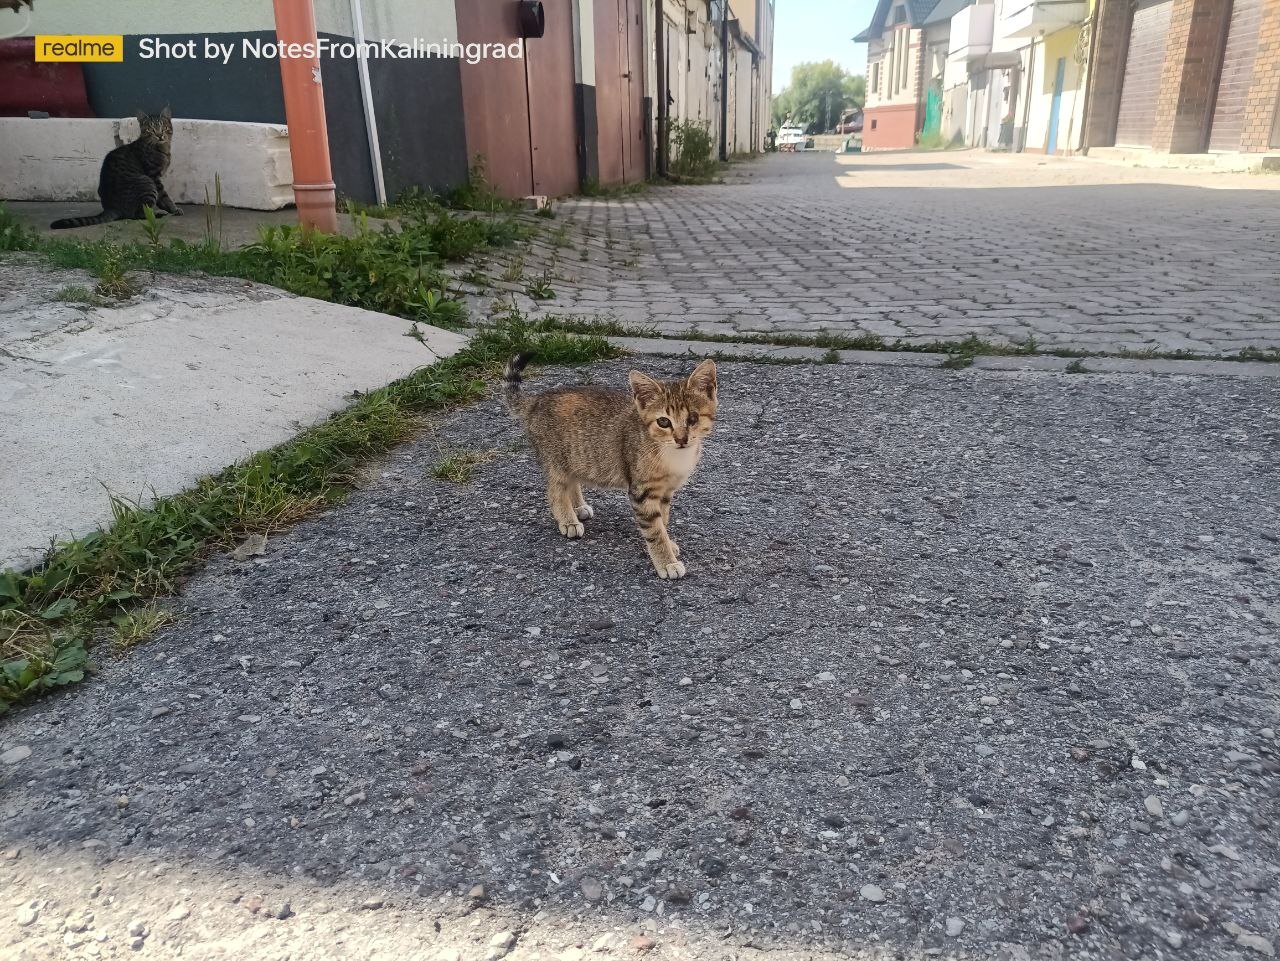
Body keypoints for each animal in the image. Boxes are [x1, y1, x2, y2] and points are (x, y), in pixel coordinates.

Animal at [49, 108, 181, 229]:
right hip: (147, 182)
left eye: (164, 127)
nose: (159, 135)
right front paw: (174, 209)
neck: (162, 149)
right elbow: (164, 196)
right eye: (150, 129)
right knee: (138, 214)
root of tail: (111, 207)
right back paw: (158, 213)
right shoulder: (154, 177)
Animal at [501, 353, 721, 578]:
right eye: (663, 422)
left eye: (693, 418)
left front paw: (668, 543)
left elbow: (663, 520)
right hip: (556, 460)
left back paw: (578, 507)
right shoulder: (642, 492)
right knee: (555, 491)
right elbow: (654, 529)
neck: (672, 455)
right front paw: (666, 561)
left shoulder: (666, 491)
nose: (681, 439)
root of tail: (537, 399)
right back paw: (568, 519)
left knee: (573, 479)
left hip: (577, 455)